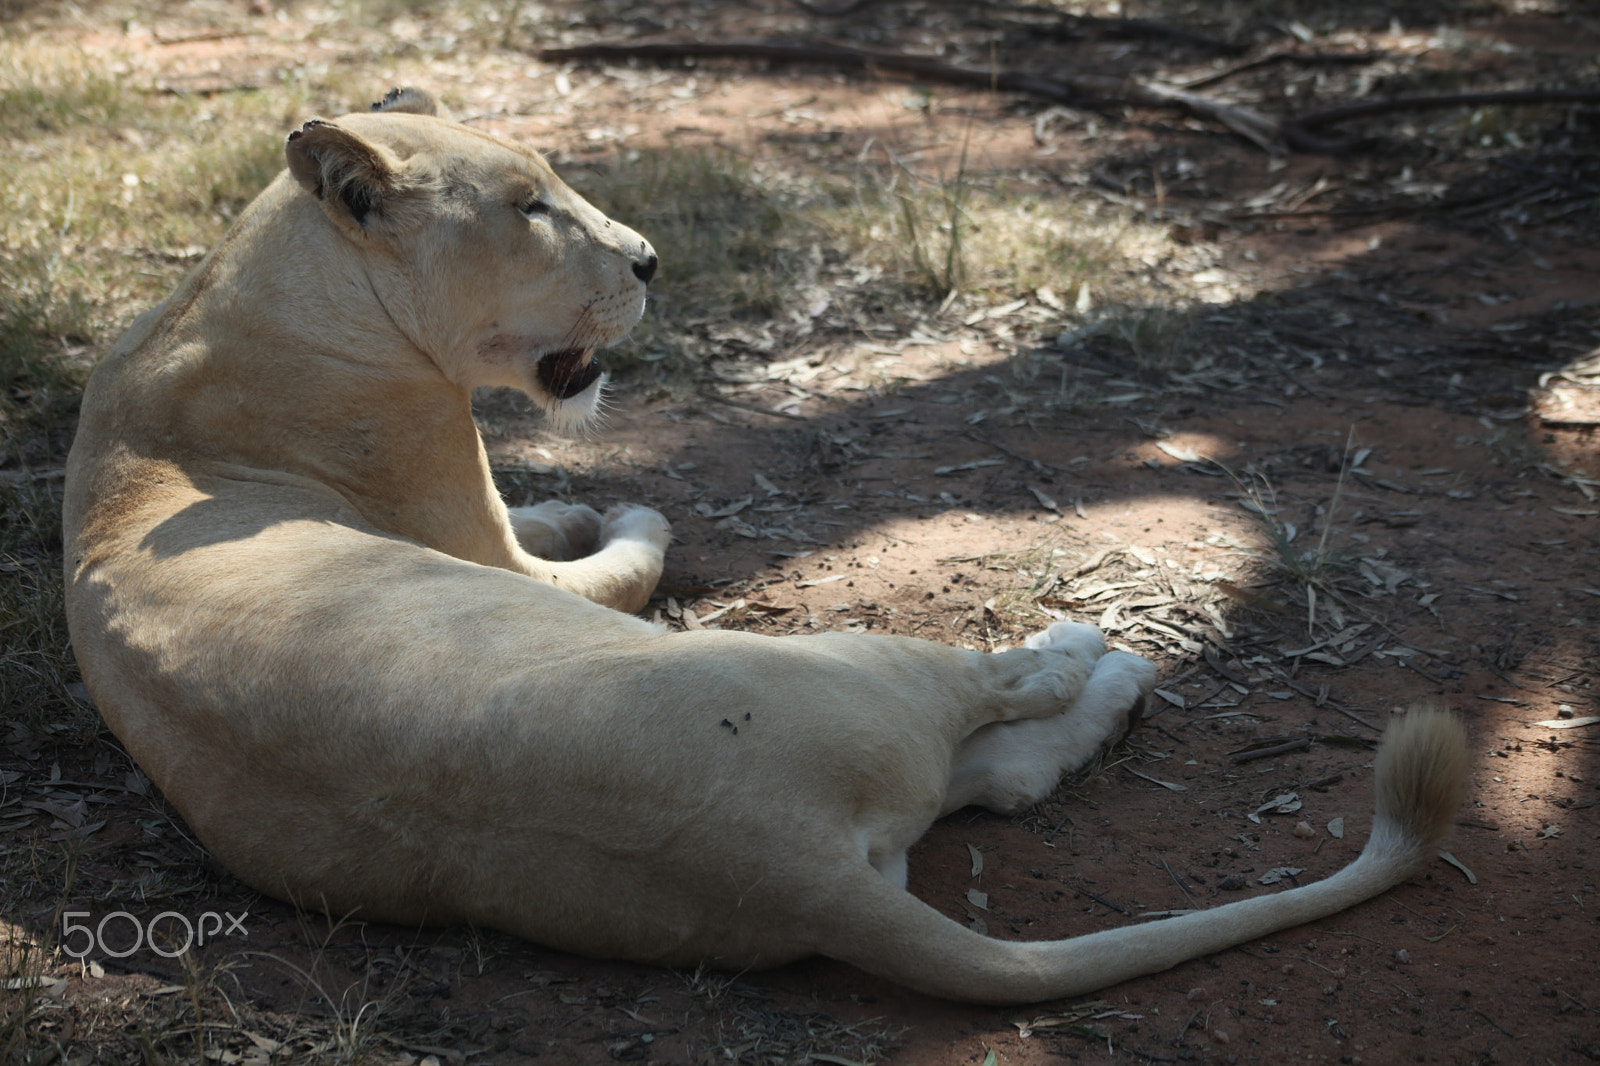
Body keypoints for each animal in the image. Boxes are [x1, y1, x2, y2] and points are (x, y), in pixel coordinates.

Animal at [62, 88, 1469, 1004]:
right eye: (529, 208)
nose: (646, 259)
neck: (238, 290)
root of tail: (785, 871)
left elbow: (567, 523)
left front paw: (586, 500)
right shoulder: (480, 536)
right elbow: (629, 554)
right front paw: (628, 514)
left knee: (1004, 780)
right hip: (858, 660)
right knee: (999, 706)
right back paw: (1095, 653)